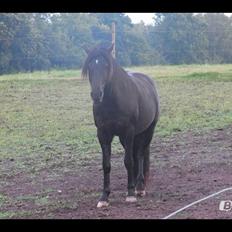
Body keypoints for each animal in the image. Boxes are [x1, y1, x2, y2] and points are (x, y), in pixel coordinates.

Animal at [81, 43, 160, 208]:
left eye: (106, 65)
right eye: (90, 66)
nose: (96, 94)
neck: (113, 102)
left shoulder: (128, 131)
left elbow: (128, 161)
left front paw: (130, 194)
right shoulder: (103, 134)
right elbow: (106, 164)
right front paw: (104, 197)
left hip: (147, 131)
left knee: (140, 155)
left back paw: (139, 187)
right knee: (136, 156)